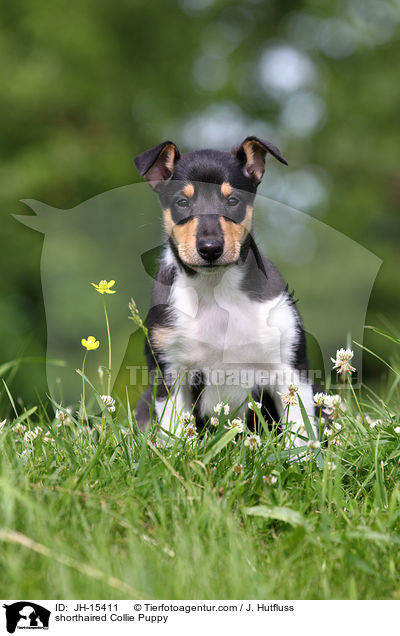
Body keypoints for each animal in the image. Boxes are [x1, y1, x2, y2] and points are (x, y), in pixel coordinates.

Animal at [134, 135, 318, 442]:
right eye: (182, 202)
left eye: (233, 201)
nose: (210, 249)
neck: (214, 289)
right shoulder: (170, 374)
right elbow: (176, 434)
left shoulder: (289, 368)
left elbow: (301, 431)